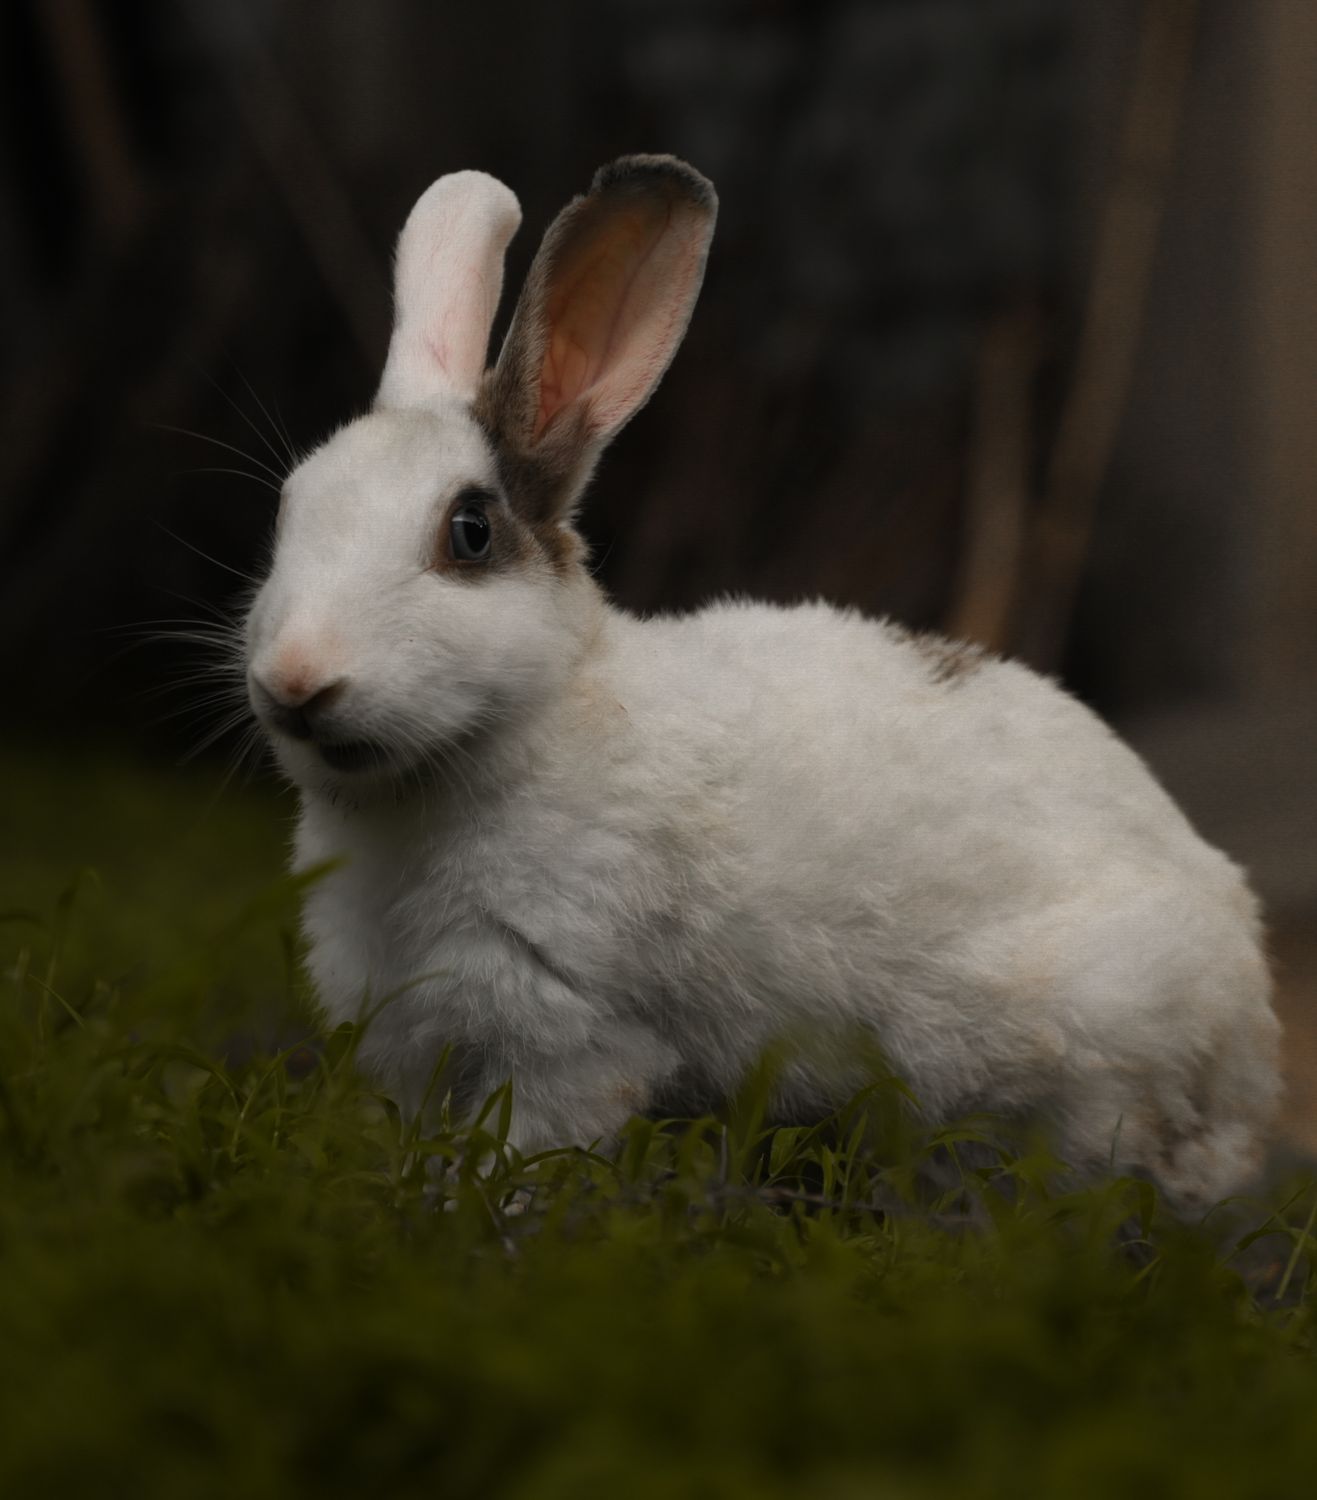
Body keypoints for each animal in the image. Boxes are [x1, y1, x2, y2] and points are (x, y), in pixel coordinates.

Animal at [243, 154, 1281, 1214]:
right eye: (288, 510)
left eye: (469, 532)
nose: (294, 680)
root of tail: (1249, 1032)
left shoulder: (571, 1033)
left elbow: (528, 1143)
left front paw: (476, 1208)